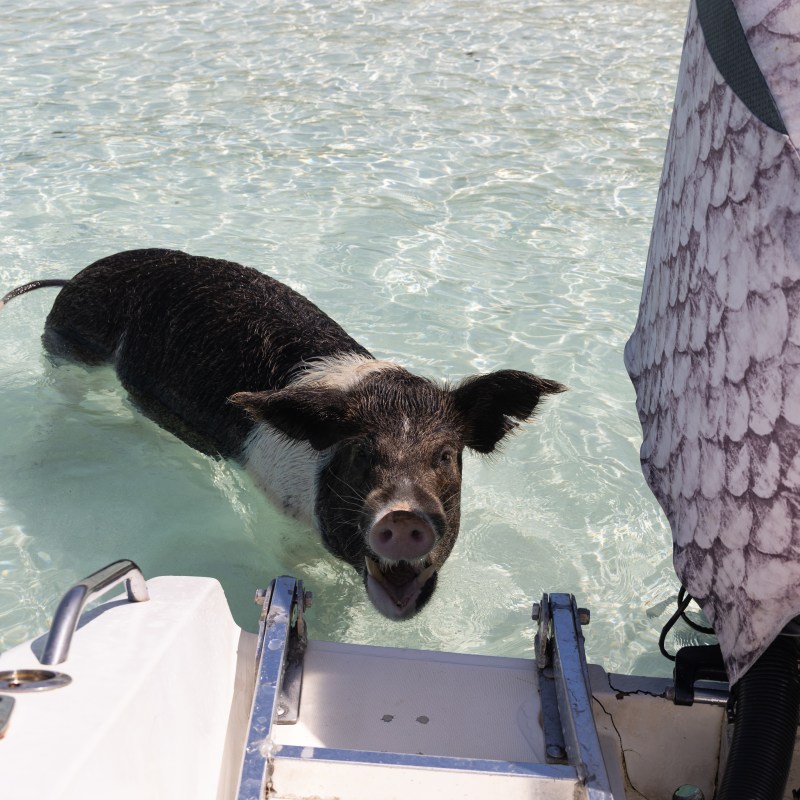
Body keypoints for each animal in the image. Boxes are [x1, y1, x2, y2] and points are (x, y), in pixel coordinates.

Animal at [1, 249, 565, 618]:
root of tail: (73, 277)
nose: (404, 516)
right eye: (362, 453)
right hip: (71, 350)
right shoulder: (276, 523)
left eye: (446, 454)